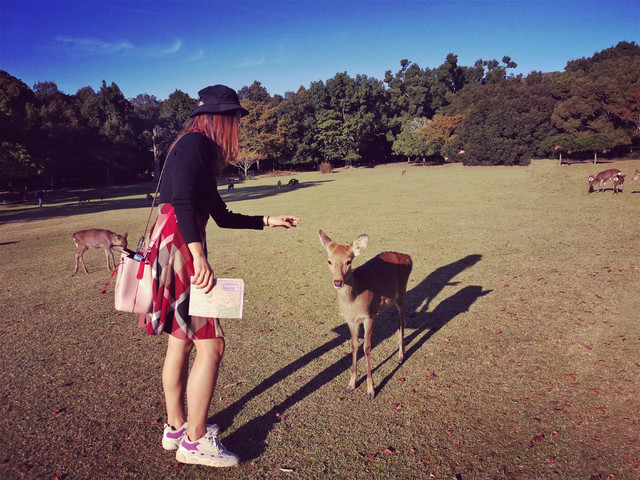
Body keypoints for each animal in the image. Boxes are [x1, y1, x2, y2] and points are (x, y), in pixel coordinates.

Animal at [319, 230, 412, 399]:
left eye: (349, 261)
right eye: (329, 261)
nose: (338, 282)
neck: (353, 302)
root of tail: (408, 257)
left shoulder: (369, 315)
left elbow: (367, 347)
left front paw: (370, 390)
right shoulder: (350, 320)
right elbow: (354, 346)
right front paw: (350, 384)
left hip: (401, 294)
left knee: (402, 319)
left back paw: (401, 356)